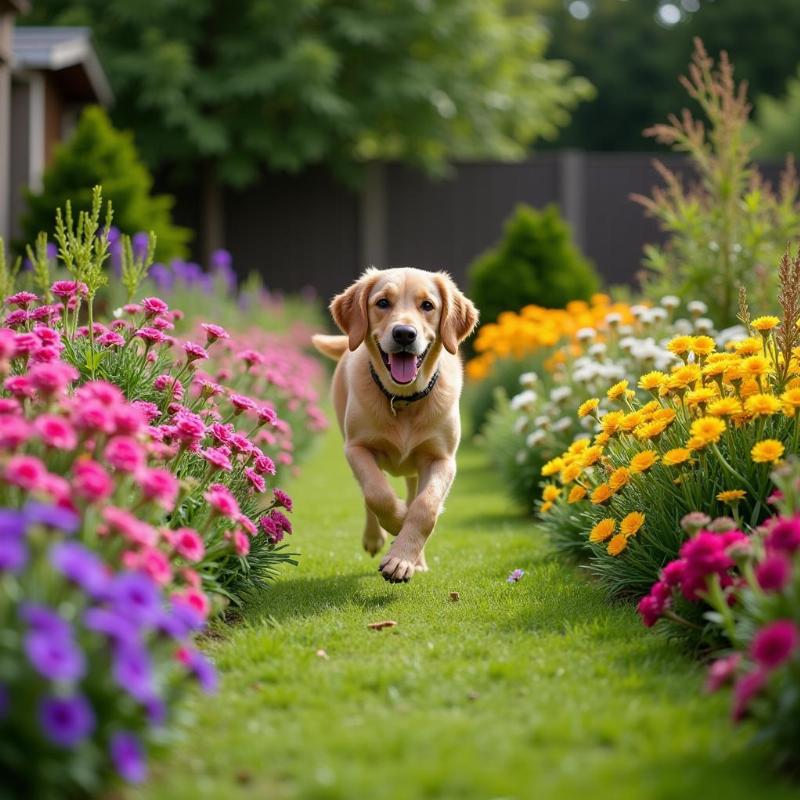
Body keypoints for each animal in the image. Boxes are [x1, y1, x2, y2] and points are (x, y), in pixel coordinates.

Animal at [310, 268, 476, 580]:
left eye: (427, 305)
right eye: (383, 303)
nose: (404, 334)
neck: (402, 400)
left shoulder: (442, 459)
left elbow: (425, 507)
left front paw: (402, 558)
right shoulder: (357, 448)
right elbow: (377, 494)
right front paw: (397, 523)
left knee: (413, 494)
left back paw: (416, 558)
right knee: (368, 493)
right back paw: (375, 536)